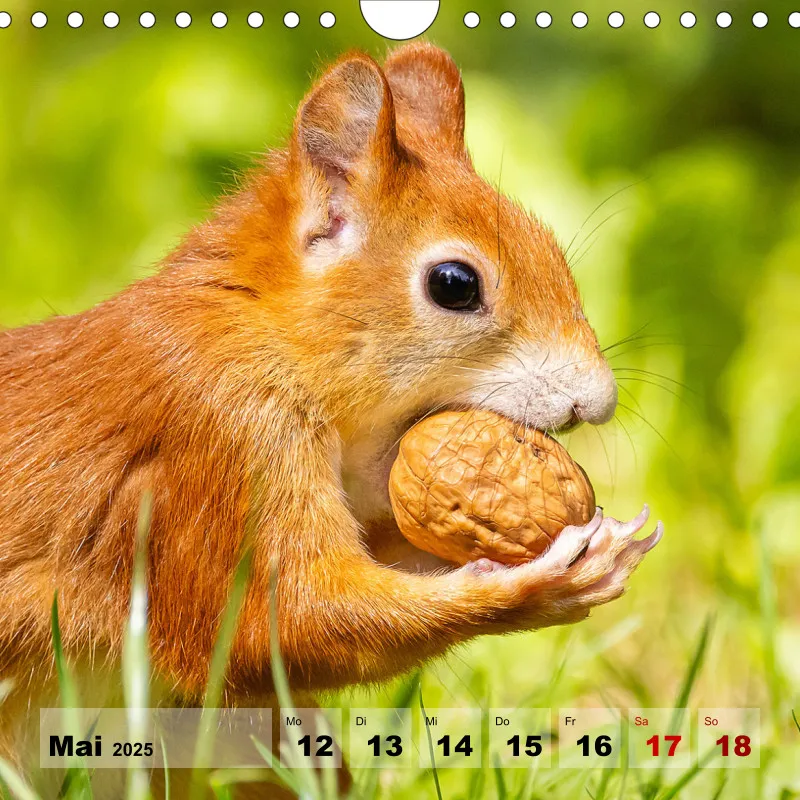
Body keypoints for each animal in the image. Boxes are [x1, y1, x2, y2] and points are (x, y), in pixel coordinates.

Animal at [0, 43, 661, 760]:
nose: (598, 401)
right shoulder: (217, 443)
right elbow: (276, 626)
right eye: (454, 284)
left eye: (546, 242)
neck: (259, 330)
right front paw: (541, 583)